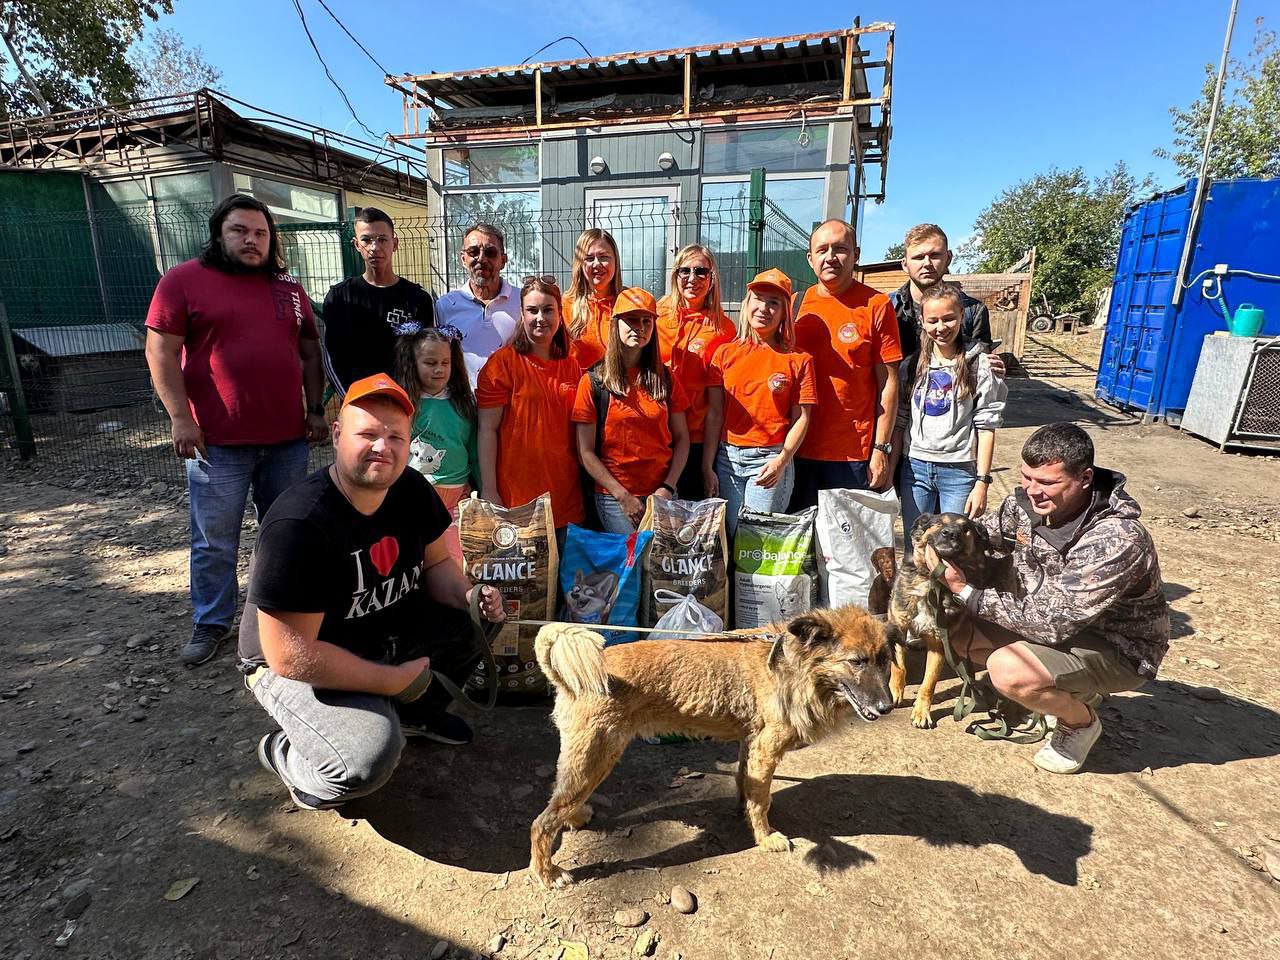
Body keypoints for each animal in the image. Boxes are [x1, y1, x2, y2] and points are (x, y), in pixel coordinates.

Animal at [524, 609, 896, 885]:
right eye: (857, 661)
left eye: (884, 660)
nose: (888, 707)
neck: (791, 665)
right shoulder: (766, 750)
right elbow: (760, 801)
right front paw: (765, 837)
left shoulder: (751, 744)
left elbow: (748, 786)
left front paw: (745, 810)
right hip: (598, 757)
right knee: (542, 823)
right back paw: (548, 873)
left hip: (588, 760)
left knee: (559, 799)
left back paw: (575, 815)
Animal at [885, 514, 1003, 732]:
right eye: (939, 523)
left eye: (965, 529)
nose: (950, 533)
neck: (932, 582)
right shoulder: (899, 627)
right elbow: (899, 667)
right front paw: (895, 691)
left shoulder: (938, 643)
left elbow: (929, 682)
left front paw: (922, 712)